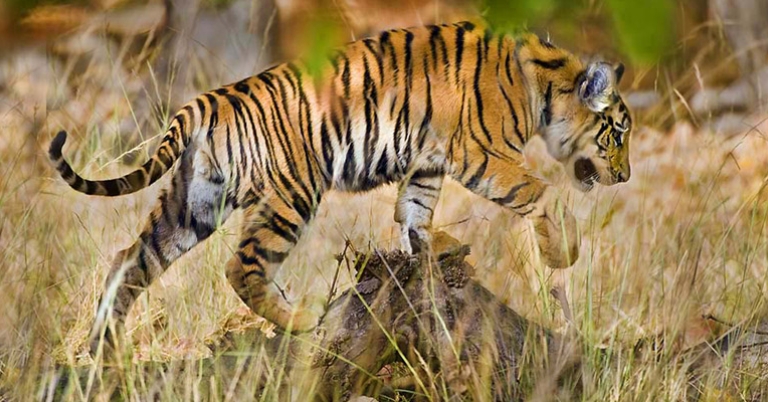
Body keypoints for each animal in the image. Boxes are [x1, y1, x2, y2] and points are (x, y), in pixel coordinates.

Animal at [48, 21, 632, 355]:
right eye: (620, 132)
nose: (625, 176)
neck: (544, 88)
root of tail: (206, 101)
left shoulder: (429, 162)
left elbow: (414, 213)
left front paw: (433, 252)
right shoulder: (480, 154)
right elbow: (541, 193)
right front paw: (562, 253)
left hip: (193, 203)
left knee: (128, 260)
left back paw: (104, 349)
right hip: (292, 193)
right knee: (242, 266)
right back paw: (302, 318)